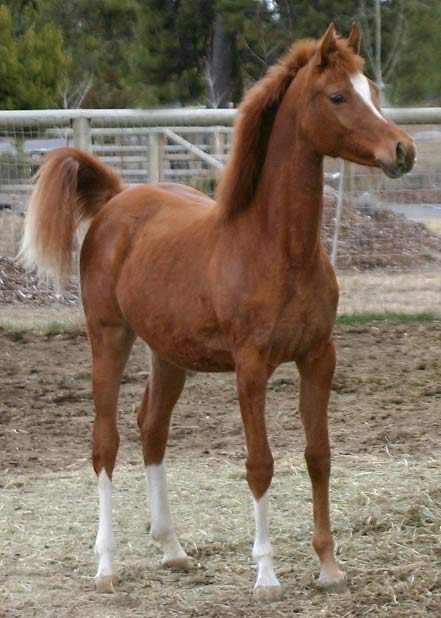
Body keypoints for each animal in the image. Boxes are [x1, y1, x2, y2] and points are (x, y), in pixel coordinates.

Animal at [19, 25, 412, 600]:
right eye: (339, 96)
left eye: (374, 91)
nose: (403, 150)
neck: (275, 248)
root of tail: (116, 200)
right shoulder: (251, 368)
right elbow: (260, 464)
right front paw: (266, 576)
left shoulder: (319, 357)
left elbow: (318, 455)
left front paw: (329, 568)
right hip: (108, 337)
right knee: (105, 442)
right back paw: (108, 565)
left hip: (169, 354)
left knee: (152, 427)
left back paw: (172, 549)